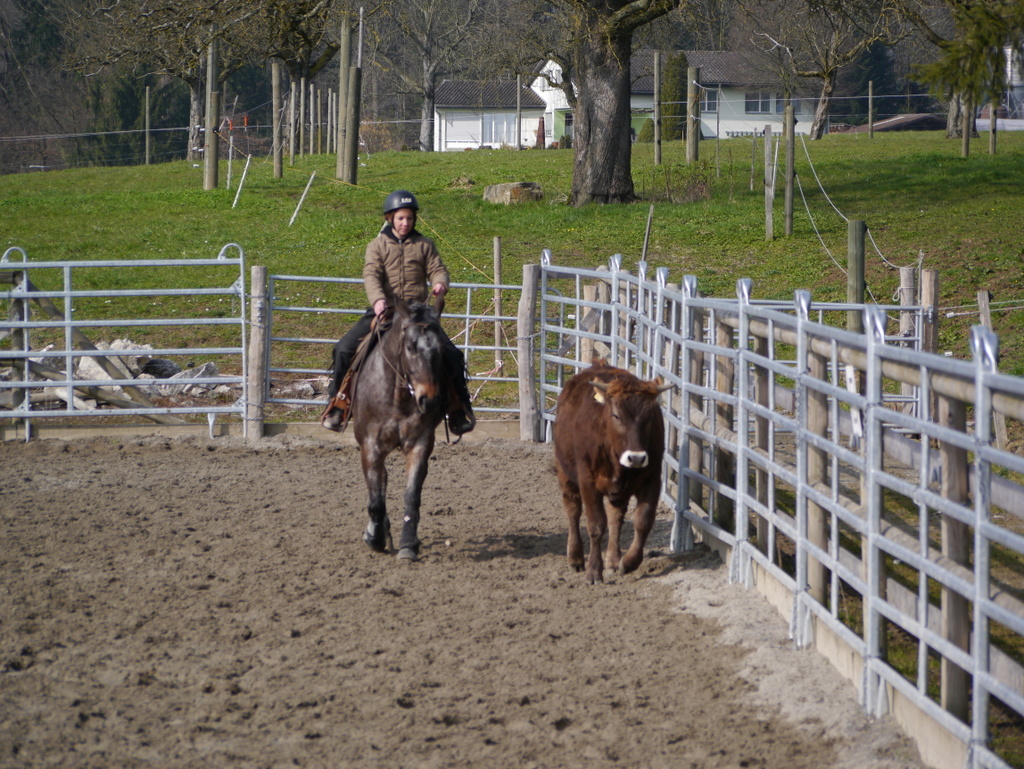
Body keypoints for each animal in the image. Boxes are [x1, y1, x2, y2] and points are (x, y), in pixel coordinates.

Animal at [350, 298, 449, 561]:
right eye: (410, 347)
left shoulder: (420, 444)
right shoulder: (370, 447)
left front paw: (408, 545)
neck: (397, 398)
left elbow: (411, 496)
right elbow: (376, 501)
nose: (429, 400)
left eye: (440, 349)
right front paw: (374, 538)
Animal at [553, 359, 672, 584]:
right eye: (616, 415)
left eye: (650, 415)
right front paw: (593, 571)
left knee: (616, 517)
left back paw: (613, 560)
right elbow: (596, 525)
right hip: (565, 471)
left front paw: (629, 562)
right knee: (573, 509)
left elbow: (643, 521)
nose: (636, 458)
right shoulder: (587, 481)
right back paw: (575, 557)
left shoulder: (652, 478)